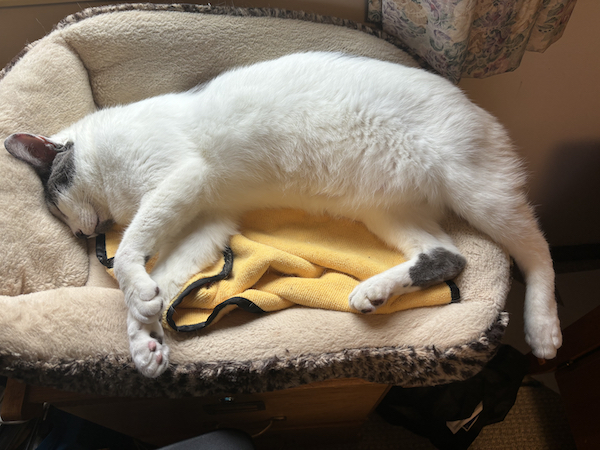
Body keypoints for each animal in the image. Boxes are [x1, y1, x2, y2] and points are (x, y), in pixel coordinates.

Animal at [3, 51, 564, 376]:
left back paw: (542, 328)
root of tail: (478, 106)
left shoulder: (181, 178)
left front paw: (138, 294)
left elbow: (129, 257)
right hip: (385, 211)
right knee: (448, 255)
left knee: (539, 252)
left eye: (54, 201)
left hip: (480, 193)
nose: (80, 233)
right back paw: (371, 292)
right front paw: (145, 338)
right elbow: (164, 275)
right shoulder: (208, 220)